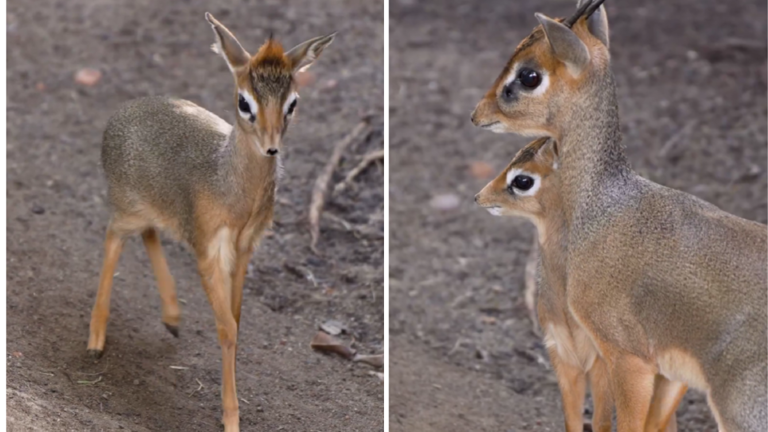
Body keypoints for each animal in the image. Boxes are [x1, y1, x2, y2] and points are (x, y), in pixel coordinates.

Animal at [87, 12, 332, 428]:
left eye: (293, 102)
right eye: (244, 102)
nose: (271, 147)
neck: (231, 188)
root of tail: (120, 114)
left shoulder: (245, 248)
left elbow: (237, 319)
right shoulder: (208, 250)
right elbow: (226, 327)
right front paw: (231, 417)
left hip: (155, 210)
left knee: (150, 233)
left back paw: (172, 316)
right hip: (126, 208)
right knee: (113, 238)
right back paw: (96, 340)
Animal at [474, 138, 684, 432]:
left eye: (523, 180)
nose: (479, 197)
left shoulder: (600, 363)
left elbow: (601, 421)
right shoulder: (563, 358)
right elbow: (572, 420)